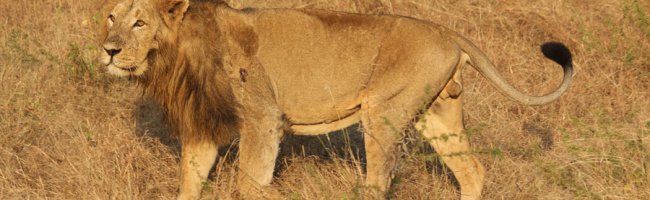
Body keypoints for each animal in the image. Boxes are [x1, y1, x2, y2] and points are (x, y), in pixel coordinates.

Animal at [98, 0, 568, 199]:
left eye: (139, 23)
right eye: (111, 17)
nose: (109, 50)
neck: (175, 60)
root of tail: (447, 31)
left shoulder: (263, 119)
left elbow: (250, 182)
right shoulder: (201, 128)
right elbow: (190, 181)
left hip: (383, 112)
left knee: (378, 182)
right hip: (438, 114)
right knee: (471, 171)